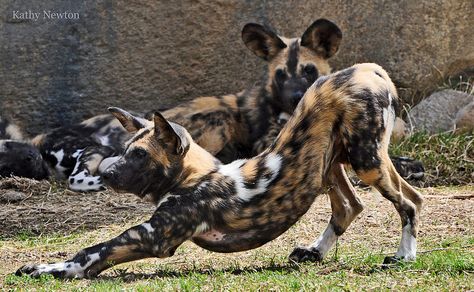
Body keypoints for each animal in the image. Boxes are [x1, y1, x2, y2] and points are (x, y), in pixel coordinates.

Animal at [17, 63, 426, 278]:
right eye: (124, 151)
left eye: (138, 156)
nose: (105, 172)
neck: (192, 177)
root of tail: (366, 70)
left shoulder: (152, 237)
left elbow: (90, 252)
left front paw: (47, 269)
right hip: (331, 164)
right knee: (353, 206)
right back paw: (315, 252)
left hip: (366, 161)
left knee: (409, 201)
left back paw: (404, 256)